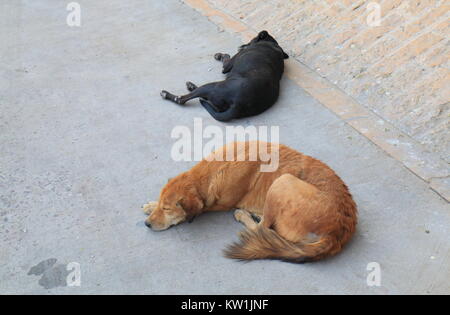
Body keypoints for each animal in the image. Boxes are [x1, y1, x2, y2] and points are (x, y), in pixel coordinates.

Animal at [142, 142, 356, 262]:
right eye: (162, 205)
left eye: (167, 209)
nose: (147, 224)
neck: (216, 169)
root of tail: (339, 230)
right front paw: (150, 205)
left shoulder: (219, 204)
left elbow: (203, 209)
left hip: (282, 181)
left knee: (262, 229)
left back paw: (244, 215)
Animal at [160, 30, 290, 122]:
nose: (243, 45)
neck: (271, 45)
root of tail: (238, 105)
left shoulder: (227, 66)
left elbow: (226, 57)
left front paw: (220, 55)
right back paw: (191, 86)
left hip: (212, 86)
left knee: (182, 99)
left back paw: (168, 94)